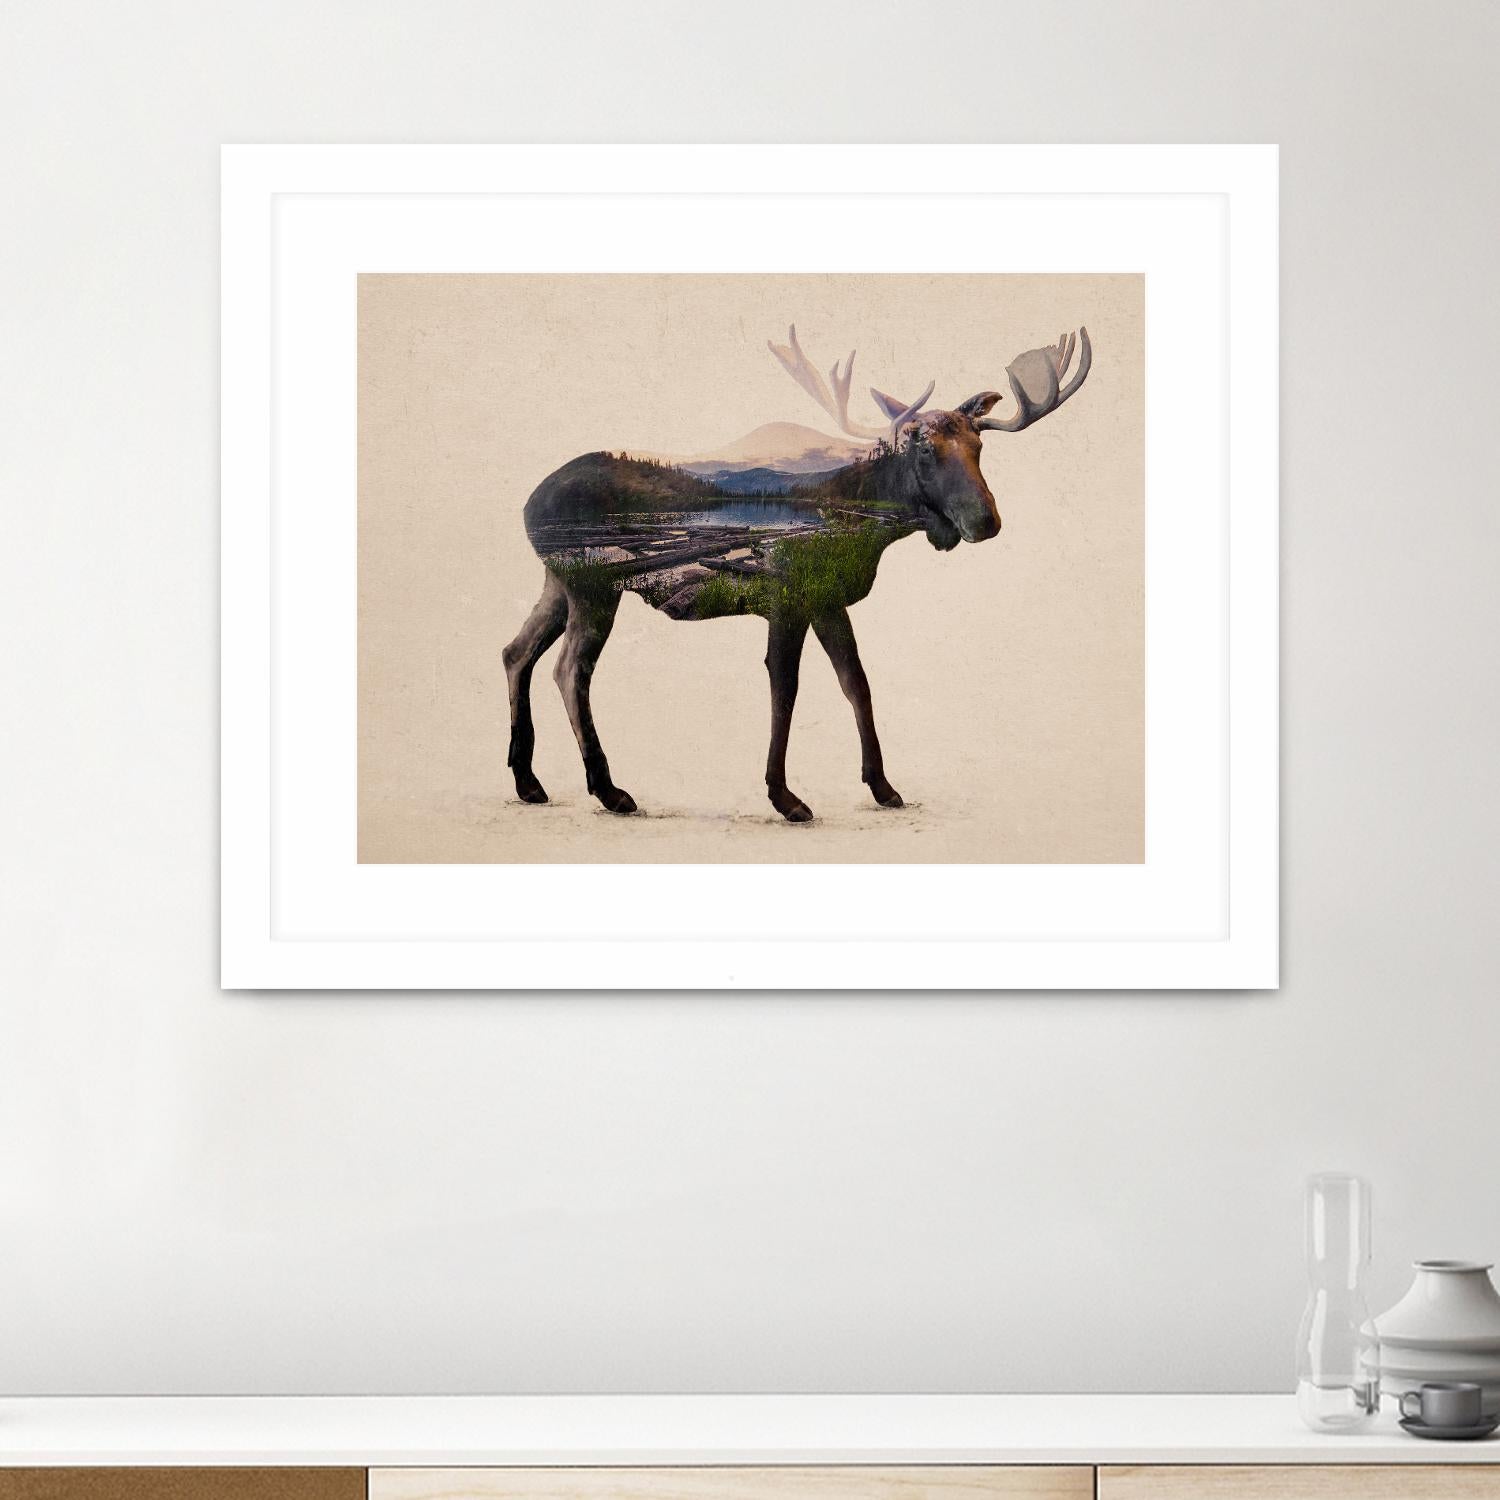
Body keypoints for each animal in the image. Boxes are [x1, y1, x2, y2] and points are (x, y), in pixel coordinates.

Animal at [503, 323, 1092, 822]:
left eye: (979, 444)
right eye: (923, 446)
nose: (985, 520)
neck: (870, 529)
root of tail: (527, 503)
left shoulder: (828, 600)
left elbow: (857, 684)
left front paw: (884, 787)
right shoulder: (788, 599)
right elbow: (785, 689)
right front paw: (785, 796)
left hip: (557, 583)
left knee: (516, 652)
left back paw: (529, 783)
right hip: (592, 584)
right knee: (569, 669)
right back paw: (609, 790)